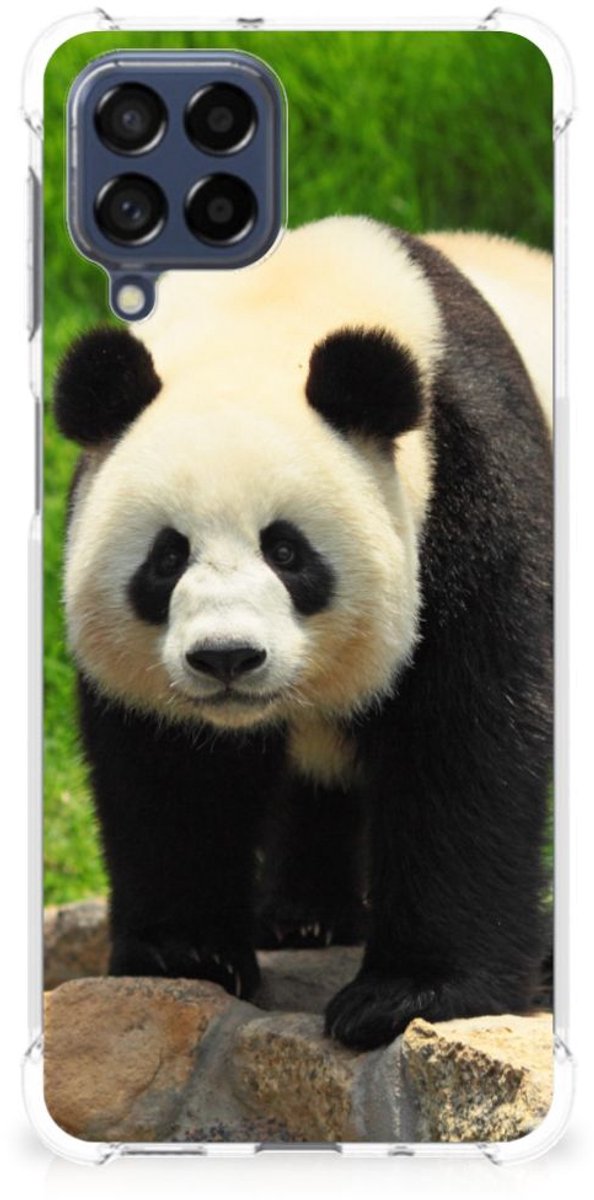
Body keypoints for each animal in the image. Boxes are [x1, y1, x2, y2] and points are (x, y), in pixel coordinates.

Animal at [54, 217, 553, 1051]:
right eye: (167, 557)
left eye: (286, 552)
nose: (226, 657)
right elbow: (168, 767)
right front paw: (185, 954)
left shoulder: (472, 483)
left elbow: (469, 736)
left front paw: (407, 995)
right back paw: (304, 916)